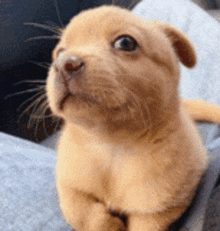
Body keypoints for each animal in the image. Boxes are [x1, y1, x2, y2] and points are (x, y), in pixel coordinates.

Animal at [45, 5, 219, 231]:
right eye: (60, 52)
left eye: (125, 43)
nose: (63, 63)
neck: (111, 146)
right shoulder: (67, 183)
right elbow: (80, 211)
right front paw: (108, 224)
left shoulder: (163, 208)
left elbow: (147, 223)